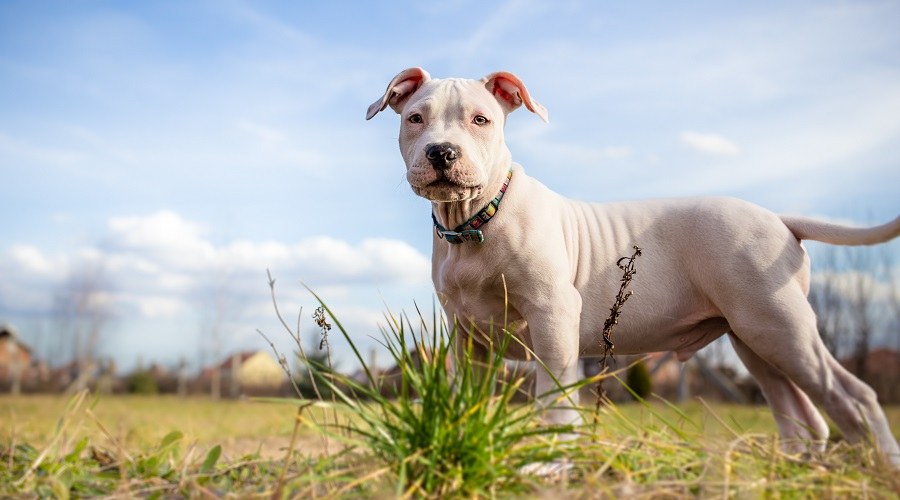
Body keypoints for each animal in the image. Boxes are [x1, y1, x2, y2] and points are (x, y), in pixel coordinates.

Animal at [366, 67, 900, 464]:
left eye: (481, 120)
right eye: (415, 118)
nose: (442, 151)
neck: (476, 222)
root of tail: (779, 218)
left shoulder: (553, 315)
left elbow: (555, 400)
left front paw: (551, 463)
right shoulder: (467, 335)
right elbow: (469, 400)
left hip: (780, 326)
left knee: (854, 396)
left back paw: (879, 466)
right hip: (753, 337)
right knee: (800, 414)